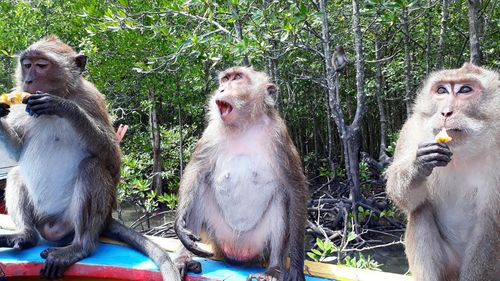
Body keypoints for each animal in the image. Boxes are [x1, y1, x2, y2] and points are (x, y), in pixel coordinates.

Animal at [0, 35, 182, 280]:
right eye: (27, 64)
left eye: (41, 65)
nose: (28, 81)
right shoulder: (21, 106)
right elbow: (17, 151)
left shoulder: (91, 99)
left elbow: (112, 161)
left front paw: (64, 107)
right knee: (17, 173)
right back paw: (24, 235)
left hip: (71, 222)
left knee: (92, 167)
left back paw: (80, 246)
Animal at [175, 66, 308, 280]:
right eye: (224, 79)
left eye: (237, 78)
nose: (221, 90)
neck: (244, 126)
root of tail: (238, 255)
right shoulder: (211, 132)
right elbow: (195, 171)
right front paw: (180, 225)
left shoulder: (279, 135)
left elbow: (295, 187)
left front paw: (296, 268)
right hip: (217, 235)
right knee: (201, 187)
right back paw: (183, 259)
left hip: (259, 244)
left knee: (281, 197)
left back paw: (274, 269)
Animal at [384, 63, 498, 280]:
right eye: (442, 90)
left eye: (465, 89)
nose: (445, 112)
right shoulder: (412, 131)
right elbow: (404, 198)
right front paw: (419, 165)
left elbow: (491, 221)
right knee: (421, 210)